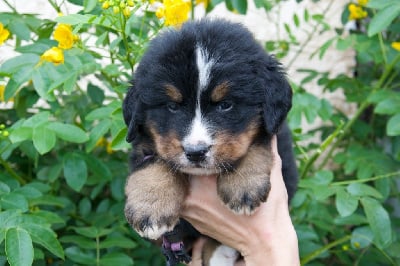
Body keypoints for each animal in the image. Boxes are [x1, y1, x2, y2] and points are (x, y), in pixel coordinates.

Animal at [122, 18, 296, 266]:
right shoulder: (144, 143)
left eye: (226, 105)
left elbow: (256, 143)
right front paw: (151, 207)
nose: (195, 152)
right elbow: (154, 164)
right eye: (172, 106)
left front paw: (243, 186)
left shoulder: (278, 140)